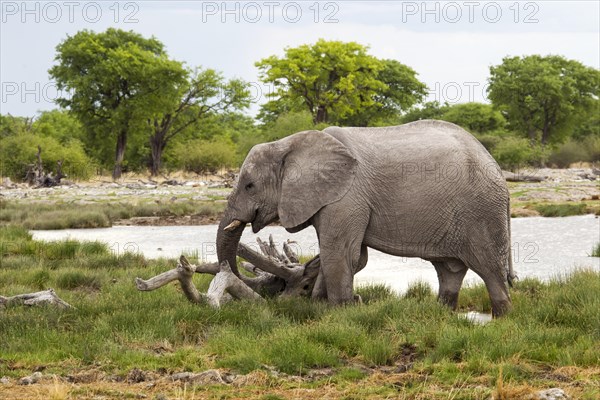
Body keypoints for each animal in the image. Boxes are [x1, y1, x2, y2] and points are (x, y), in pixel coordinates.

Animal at [217, 120, 516, 318]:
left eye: (249, 186)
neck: (289, 144)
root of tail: (494, 164)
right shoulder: (334, 199)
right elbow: (346, 256)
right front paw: (321, 305)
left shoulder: (347, 196)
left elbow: (340, 254)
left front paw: (340, 312)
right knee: (449, 270)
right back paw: (441, 315)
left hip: (481, 212)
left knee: (489, 269)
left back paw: (502, 320)